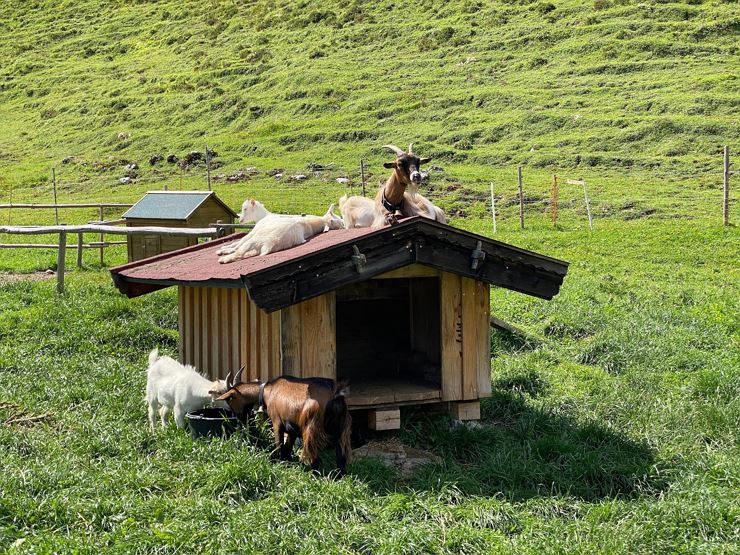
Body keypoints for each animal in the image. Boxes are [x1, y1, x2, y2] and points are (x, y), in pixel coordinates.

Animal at [217, 370, 352, 475]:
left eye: (230, 399)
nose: (240, 418)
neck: (268, 390)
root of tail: (334, 394)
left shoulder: (277, 423)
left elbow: (278, 446)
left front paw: (278, 465)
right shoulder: (292, 428)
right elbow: (287, 449)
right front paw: (287, 464)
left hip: (312, 429)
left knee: (314, 457)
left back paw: (313, 475)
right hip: (341, 430)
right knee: (341, 457)